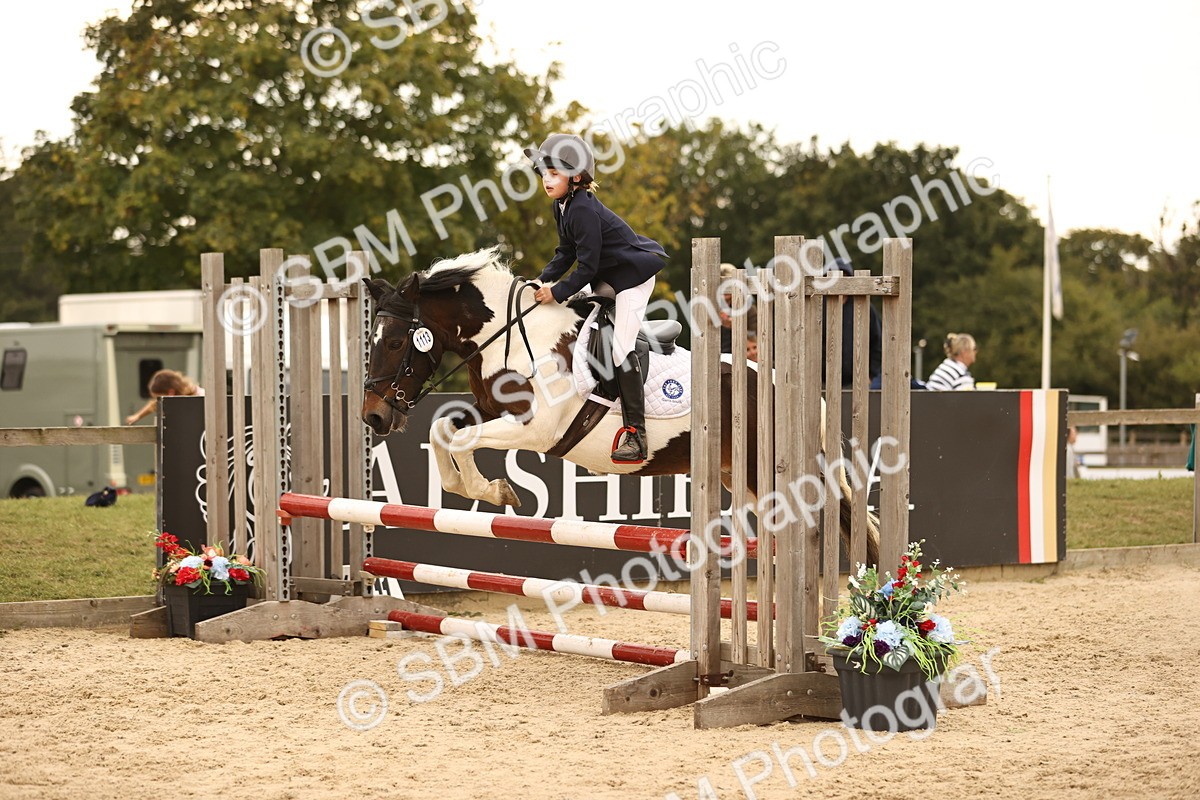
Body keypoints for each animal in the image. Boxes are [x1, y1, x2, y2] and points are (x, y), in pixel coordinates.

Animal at [360, 246, 880, 566]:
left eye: (394, 342)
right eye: (372, 339)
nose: (373, 417)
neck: (511, 336)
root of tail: (788, 383)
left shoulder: (535, 429)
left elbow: (462, 439)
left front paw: (497, 491)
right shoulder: (492, 412)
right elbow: (445, 432)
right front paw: (485, 490)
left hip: (770, 474)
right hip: (742, 477)